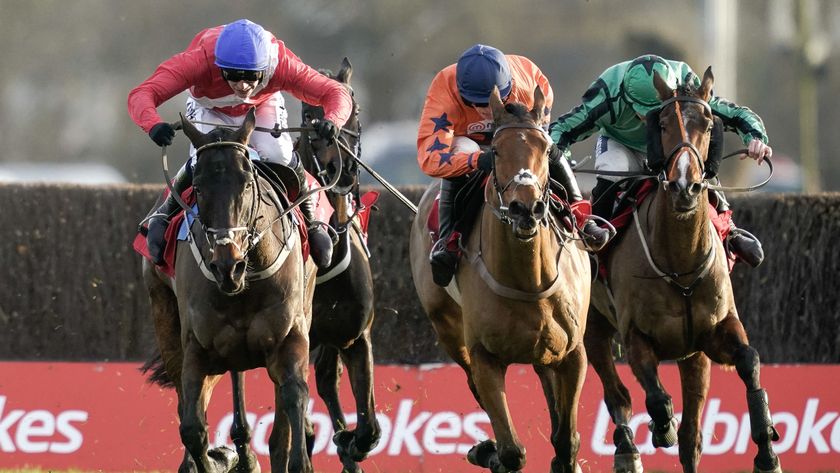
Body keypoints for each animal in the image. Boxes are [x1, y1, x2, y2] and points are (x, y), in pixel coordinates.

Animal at [143, 107, 316, 472]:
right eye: (197, 186)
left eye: (247, 183)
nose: (227, 265)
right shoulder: (196, 348)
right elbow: (192, 427)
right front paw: (219, 457)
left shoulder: (290, 337)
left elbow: (294, 398)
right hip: (167, 321)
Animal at [408, 85, 592, 472]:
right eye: (495, 151)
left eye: (546, 149)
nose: (526, 208)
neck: (529, 280)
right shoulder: (485, 358)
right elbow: (511, 450)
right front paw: (490, 451)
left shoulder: (572, 354)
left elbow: (567, 442)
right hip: (447, 327)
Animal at [584, 67, 780, 472]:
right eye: (661, 123)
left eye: (708, 122)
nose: (685, 185)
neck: (681, 266)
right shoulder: (636, 337)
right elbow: (656, 398)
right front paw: (661, 428)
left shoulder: (715, 332)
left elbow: (750, 362)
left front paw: (767, 448)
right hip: (593, 330)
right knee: (618, 395)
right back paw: (628, 450)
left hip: (693, 358)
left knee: (692, 437)